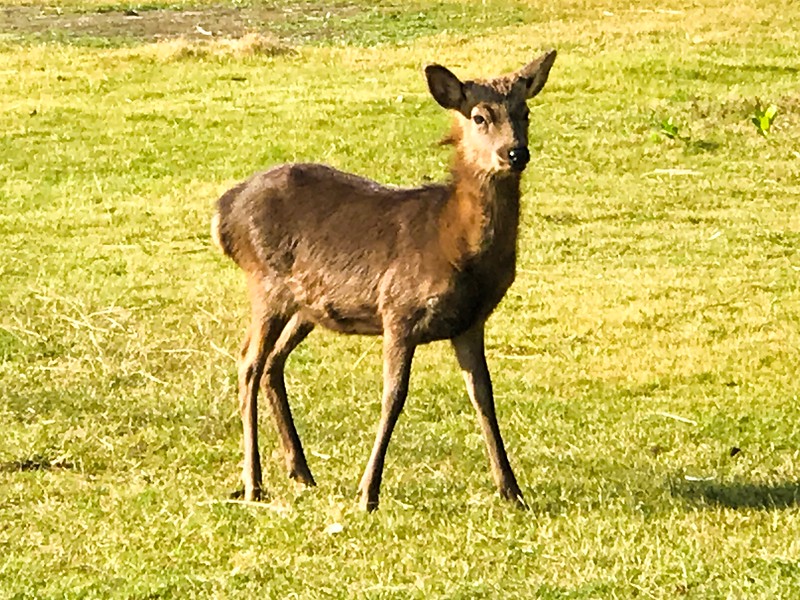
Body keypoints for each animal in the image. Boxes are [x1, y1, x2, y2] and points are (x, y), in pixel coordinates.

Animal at [212, 51, 560, 510]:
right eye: (480, 116)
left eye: (525, 112)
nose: (515, 152)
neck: (454, 245)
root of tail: (223, 211)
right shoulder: (398, 310)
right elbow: (394, 396)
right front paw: (368, 492)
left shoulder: (470, 322)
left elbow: (484, 396)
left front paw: (511, 490)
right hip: (265, 283)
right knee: (249, 362)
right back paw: (253, 482)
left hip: (307, 306)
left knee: (272, 363)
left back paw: (301, 471)